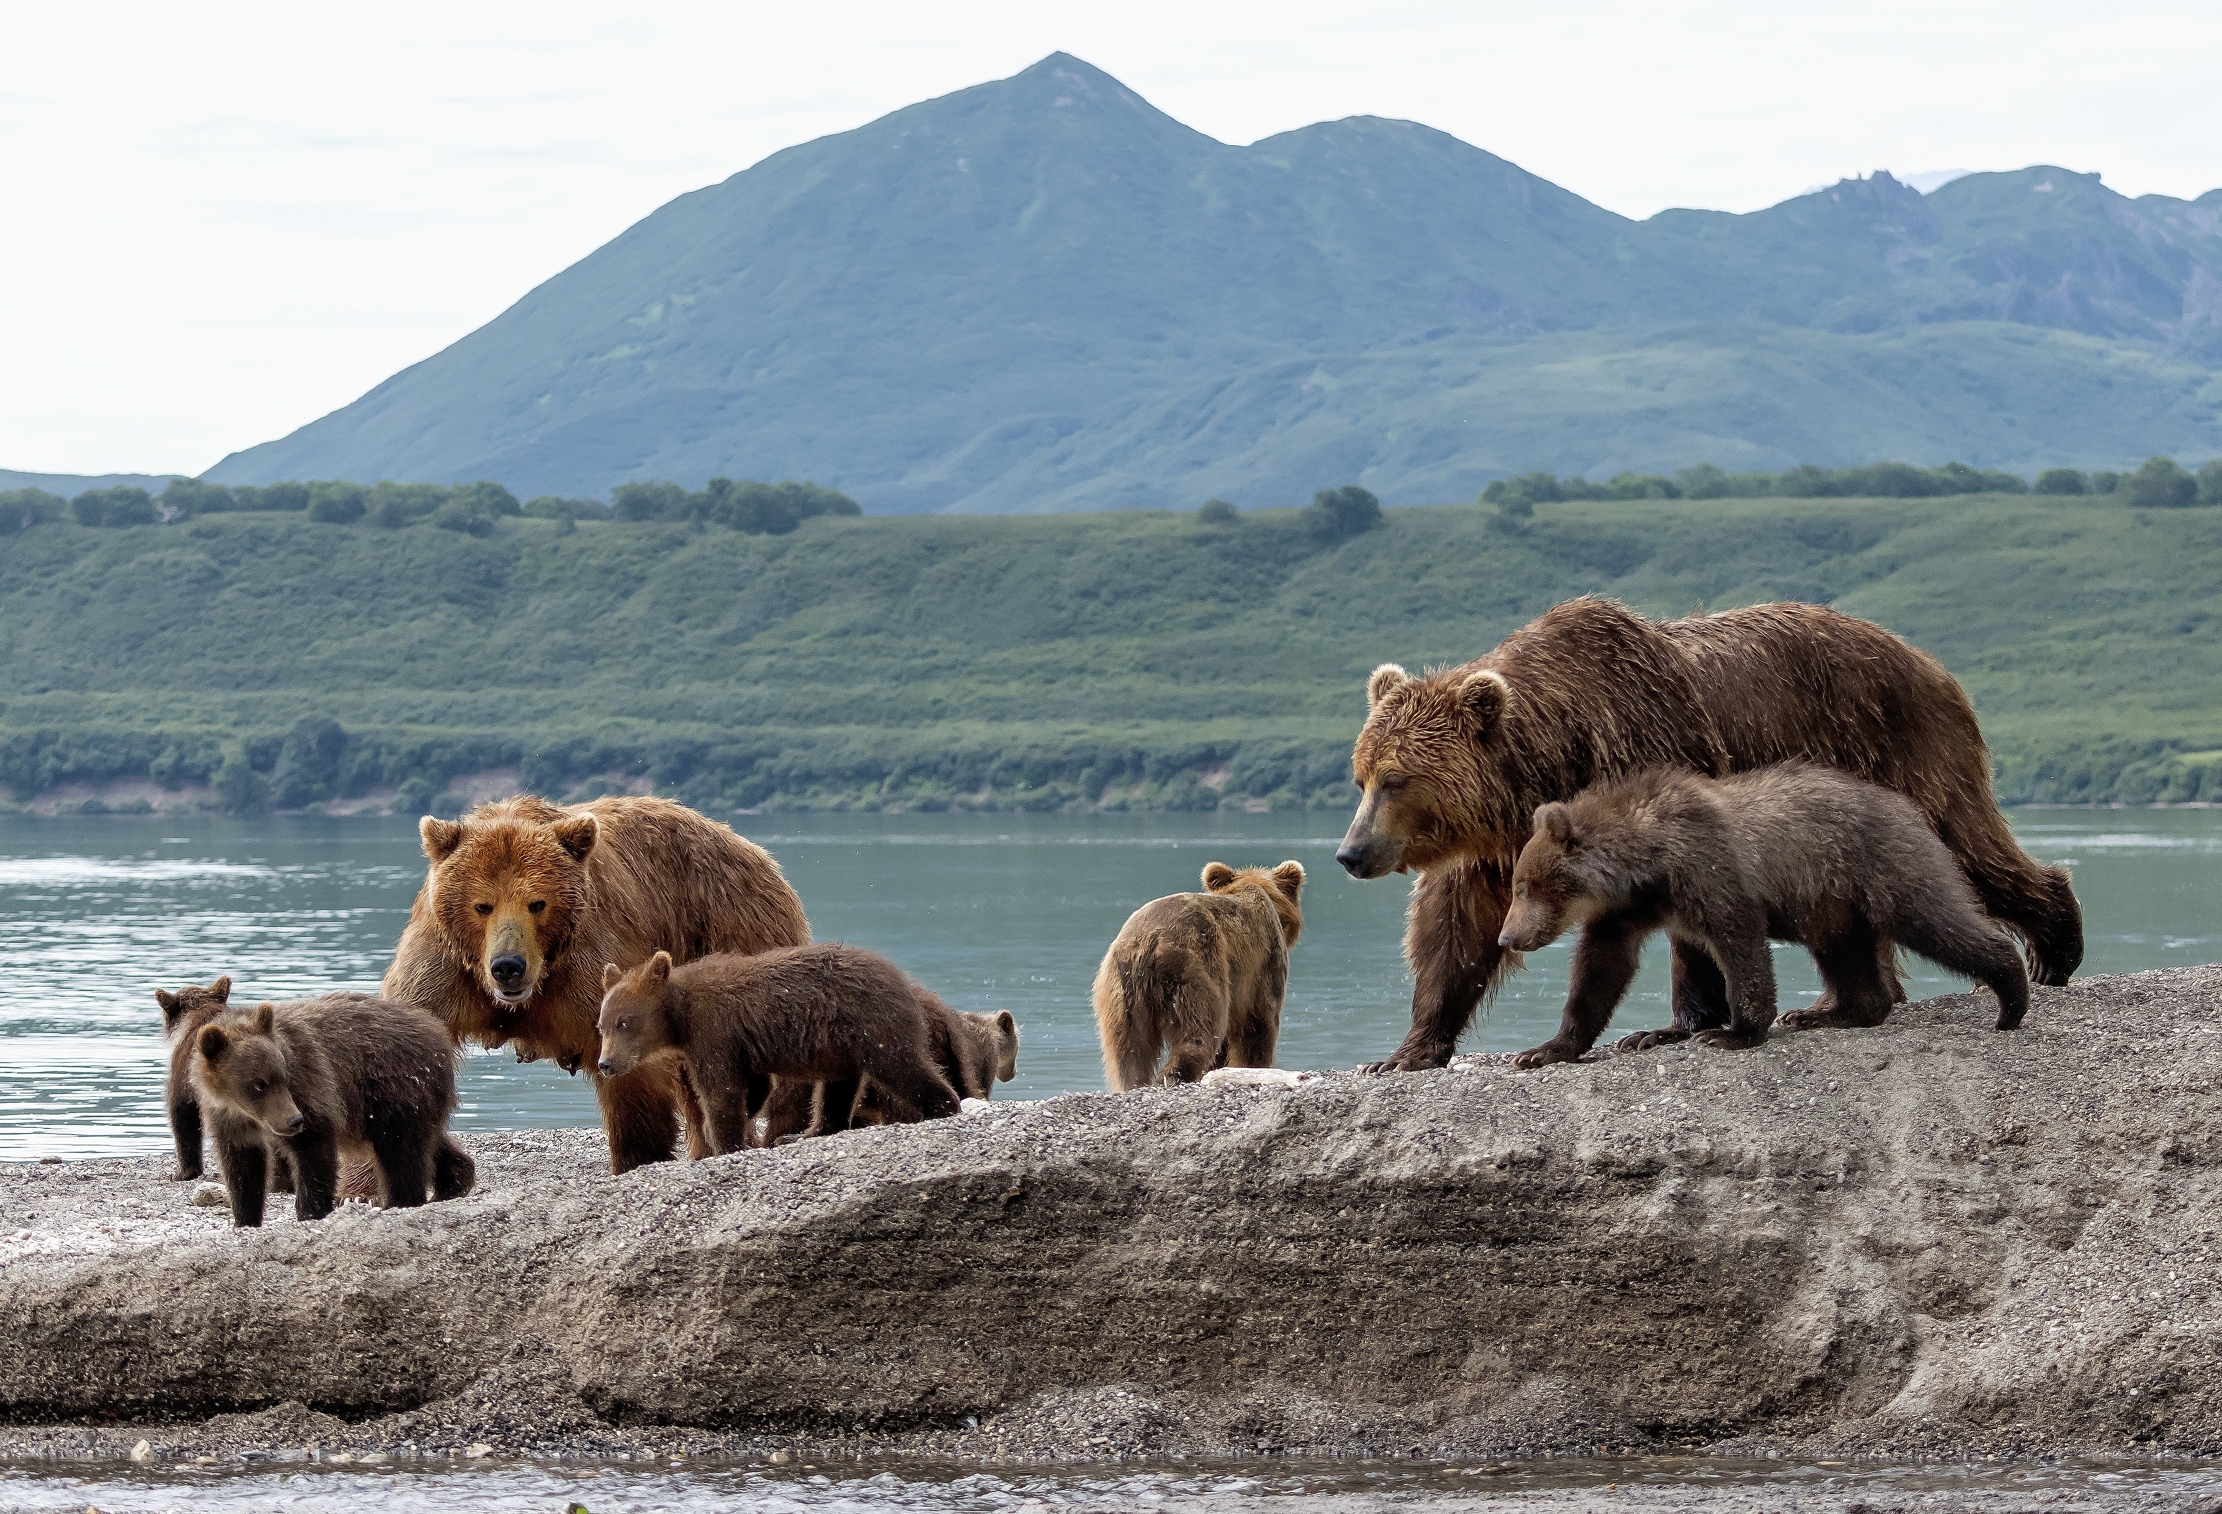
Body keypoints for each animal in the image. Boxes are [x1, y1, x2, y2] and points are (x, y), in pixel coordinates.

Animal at [189, 993, 476, 1227]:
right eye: (259, 1084)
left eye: (283, 1077)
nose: (294, 1120)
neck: (243, 1110)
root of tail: (437, 1032)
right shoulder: (229, 1120)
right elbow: (242, 1167)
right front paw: (245, 1219)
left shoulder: (309, 1086)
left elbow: (314, 1150)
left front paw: (311, 1211)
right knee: (428, 1140)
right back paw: (453, 1181)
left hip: (393, 1089)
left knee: (401, 1153)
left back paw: (399, 1201)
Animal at [381, 794, 810, 1173]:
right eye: (482, 905)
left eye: (537, 903)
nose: (508, 966)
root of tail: (749, 847)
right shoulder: (444, 970)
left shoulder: (590, 967)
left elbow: (629, 1071)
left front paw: (637, 1157)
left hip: (731, 925)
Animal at [594, 945, 962, 1155]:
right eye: (602, 1025)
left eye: (625, 1022)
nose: (606, 1063)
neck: (680, 1015)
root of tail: (903, 979)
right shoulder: (738, 1045)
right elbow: (754, 1086)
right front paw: (742, 1126)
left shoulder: (713, 1032)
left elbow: (720, 1091)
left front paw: (724, 1142)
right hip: (841, 1045)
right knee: (836, 1089)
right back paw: (807, 1133)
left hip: (871, 1024)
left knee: (902, 1065)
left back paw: (943, 1105)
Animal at [1092, 860, 1306, 1091]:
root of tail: (1149, 940)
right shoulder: (1263, 966)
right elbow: (1258, 1025)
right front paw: (1252, 1067)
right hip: (1195, 967)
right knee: (1202, 1029)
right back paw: (1175, 1076)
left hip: (1122, 989)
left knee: (1128, 1049)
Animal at [1495, 764, 2032, 1066]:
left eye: (1524, 887)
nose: (1505, 938)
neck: (1647, 868)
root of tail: (1906, 805)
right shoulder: (1629, 912)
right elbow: (1601, 972)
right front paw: (1548, 1049)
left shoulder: (1711, 872)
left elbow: (1740, 947)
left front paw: (1732, 1033)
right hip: (1832, 906)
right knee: (1845, 954)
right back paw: (1826, 1013)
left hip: (1882, 865)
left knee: (1936, 920)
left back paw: (2010, 997)